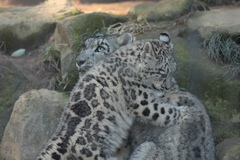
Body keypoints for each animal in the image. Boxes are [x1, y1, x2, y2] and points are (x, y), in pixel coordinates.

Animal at [36, 33, 203, 159]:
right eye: (162, 72)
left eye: (100, 48)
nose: (79, 61)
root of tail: (61, 137)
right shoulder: (139, 99)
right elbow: (163, 111)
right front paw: (190, 112)